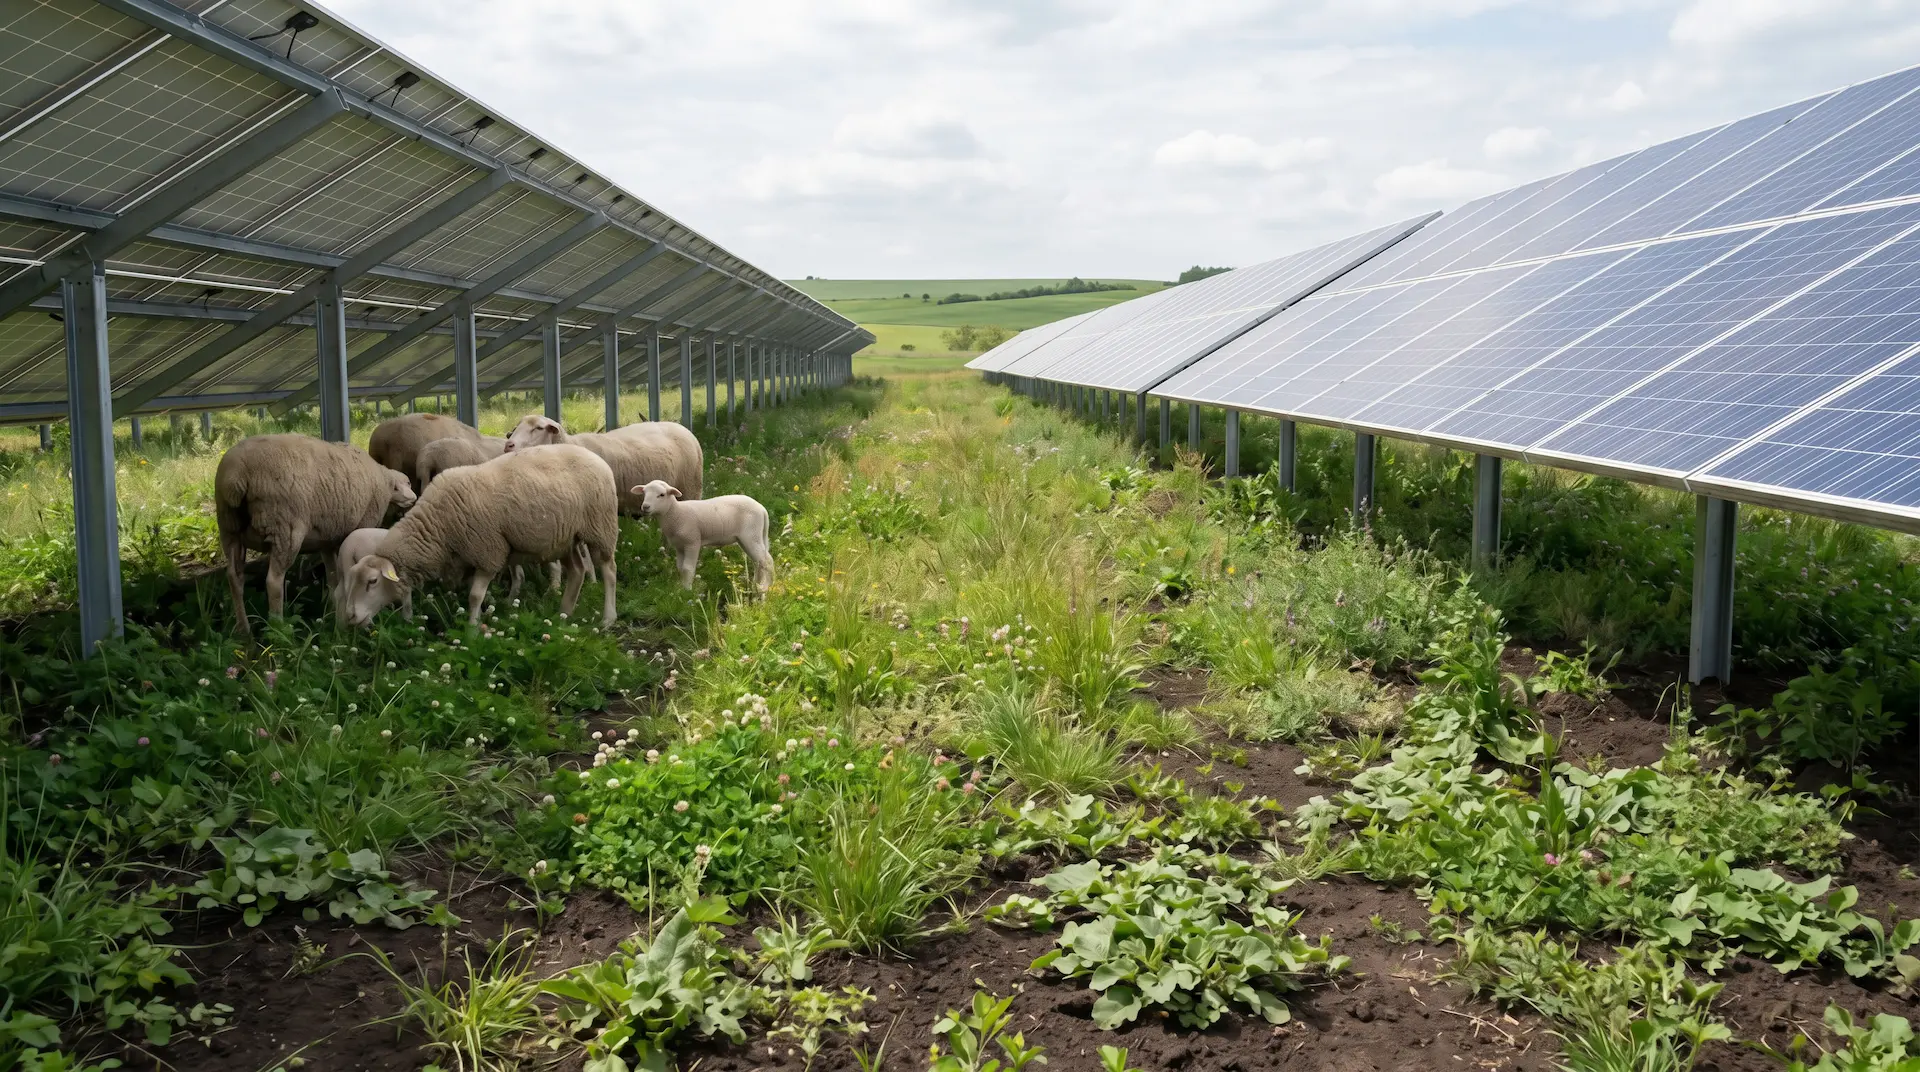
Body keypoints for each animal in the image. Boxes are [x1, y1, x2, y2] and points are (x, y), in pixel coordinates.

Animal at [216, 434, 416, 635]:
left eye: (408, 483)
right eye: (398, 488)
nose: (413, 499)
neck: (383, 480)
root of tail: (235, 475)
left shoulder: (327, 539)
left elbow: (333, 575)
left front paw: (332, 607)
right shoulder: (364, 524)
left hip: (229, 529)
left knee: (234, 577)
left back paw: (244, 630)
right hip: (285, 528)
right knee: (273, 582)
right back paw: (278, 628)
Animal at [341, 444, 620, 628]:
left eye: (372, 582)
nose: (351, 616)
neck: (439, 526)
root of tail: (595, 457)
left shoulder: (488, 551)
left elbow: (475, 596)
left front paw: (473, 629)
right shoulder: (466, 560)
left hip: (600, 526)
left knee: (608, 571)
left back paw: (607, 619)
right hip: (566, 538)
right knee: (577, 571)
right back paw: (564, 613)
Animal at [502, 416, 703, 514]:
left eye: (538, 428)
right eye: (515, 428)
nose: (508, 445)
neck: (572, 444)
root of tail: (683, 428)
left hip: (691, 488)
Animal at [633, 479, 772, 595]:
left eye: (661, 495)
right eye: (644, 493)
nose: (645, 507)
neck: (676, 513)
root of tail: (762, 509)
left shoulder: (692, 542)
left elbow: (687, 568)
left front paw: (687, 591)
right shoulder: (679, 546)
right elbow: (680, 568)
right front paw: (680, 589)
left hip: (751, 535)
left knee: (765, 561)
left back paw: (763, 589)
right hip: (749, 538)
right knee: (760, 561)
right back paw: (756, 585)